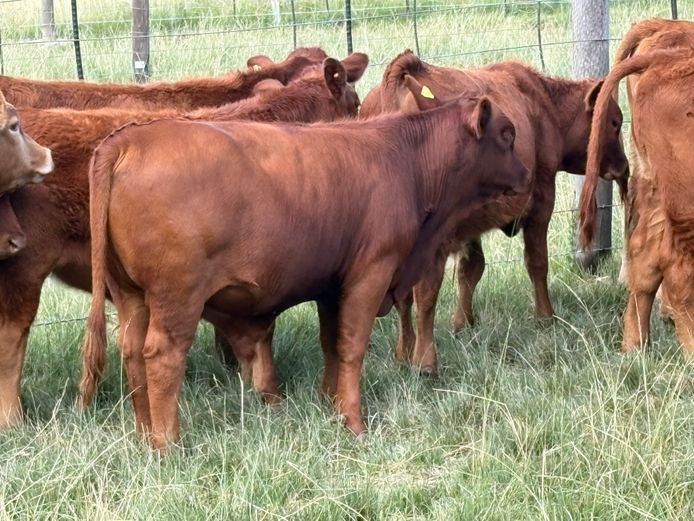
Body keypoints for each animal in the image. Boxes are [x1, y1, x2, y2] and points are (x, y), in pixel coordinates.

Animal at [79, 96, 529, 449]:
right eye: (507, 133)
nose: (526, 175)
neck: (405, 159)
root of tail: (128, 138)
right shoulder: (371, 273)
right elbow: (352, 346)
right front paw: (354, 423)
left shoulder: (332, 286)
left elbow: (331, 343)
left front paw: (329, 403)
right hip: (177, 297)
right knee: (162, 356)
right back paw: (168, 444)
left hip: (131, 295)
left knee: (132, 353)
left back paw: (144, 436)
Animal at [361, 51, 628, 373]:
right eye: (615, 122)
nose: (625, 167)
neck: (542, 104)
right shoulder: (542, 198)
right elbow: (537, 262)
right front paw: (545, 316)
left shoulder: (468, 225)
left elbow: (471, 268)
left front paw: (463, 323)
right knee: (425, 292)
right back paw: (425, 362)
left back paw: (404, 351)